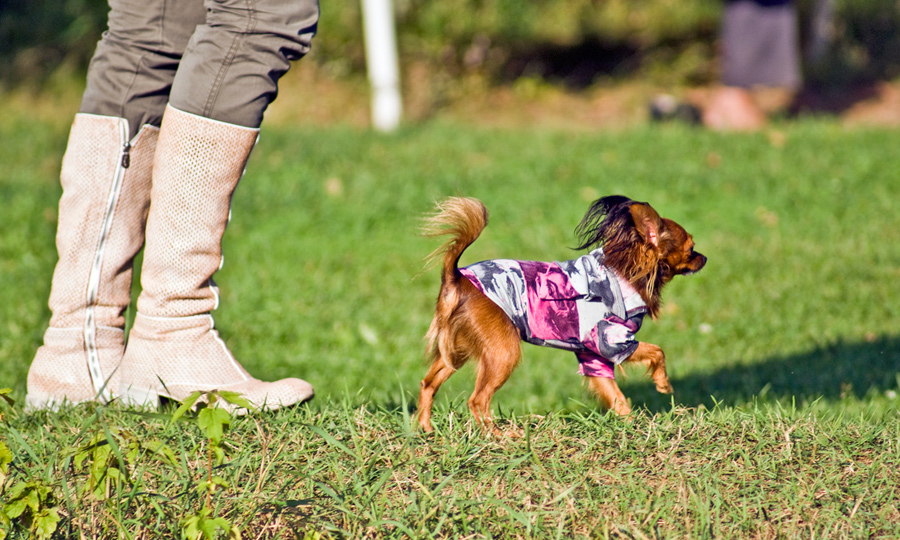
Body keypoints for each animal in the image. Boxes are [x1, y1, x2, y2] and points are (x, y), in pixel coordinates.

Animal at [418, 196, 708, 432]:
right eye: (691, 248)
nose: (704, 258)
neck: (626, 272)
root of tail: (457, 277)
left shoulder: (593, 356)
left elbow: (616, 396)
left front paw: (630, 423)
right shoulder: (612, 340)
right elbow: (657, 351)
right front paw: (663, 384)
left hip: (458, 351)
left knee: (428, 383)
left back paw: (426, 429)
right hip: (502, 353)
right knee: (478, 400)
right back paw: (499, 436)